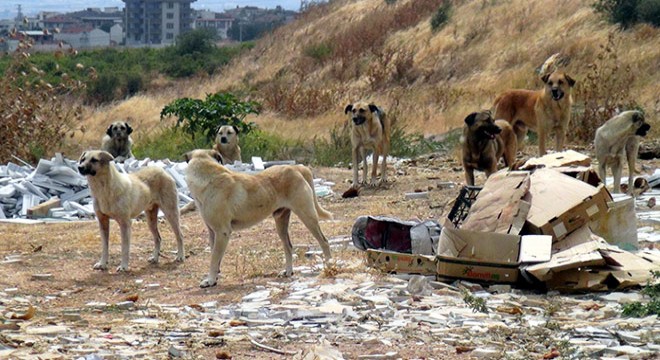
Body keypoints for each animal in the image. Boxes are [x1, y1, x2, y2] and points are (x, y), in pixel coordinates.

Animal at [183, 148, 332, 286]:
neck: (208, 178)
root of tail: (297, 168)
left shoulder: (222, 232)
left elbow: (214, 259)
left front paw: (210, 280)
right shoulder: (212, 232)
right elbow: (215, 257)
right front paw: (214, 278)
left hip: (307, 216)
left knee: (324, 242)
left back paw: (329, 266)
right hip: (281, 222)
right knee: (288, 247)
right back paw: (288, 271)